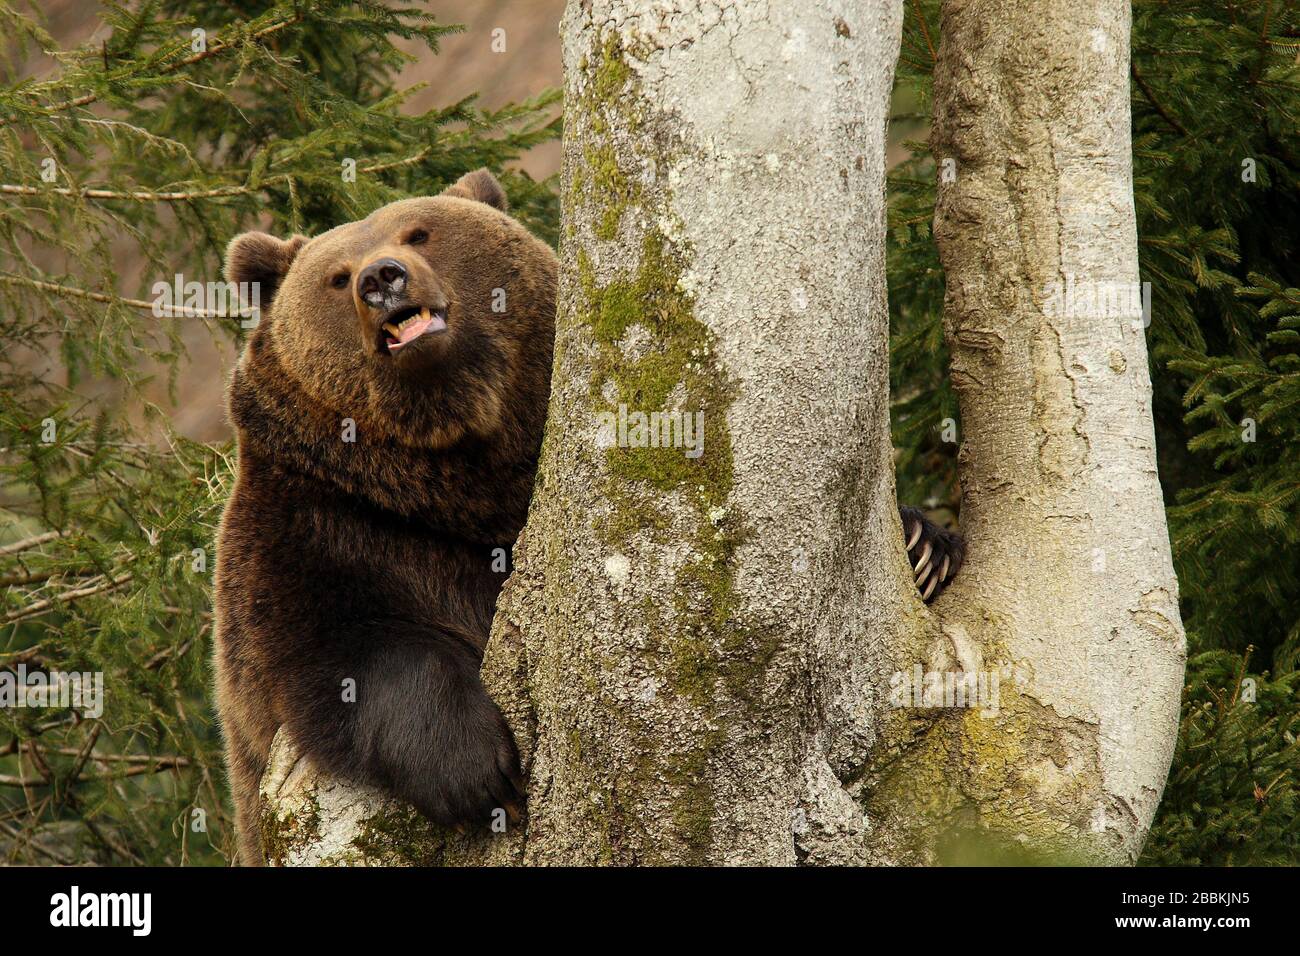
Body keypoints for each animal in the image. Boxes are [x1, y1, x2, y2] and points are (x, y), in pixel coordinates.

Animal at [215, 166, 967, 868]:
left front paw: (925, 546)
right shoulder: (321, 520)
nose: (382, 279)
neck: (460, 473)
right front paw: (475, 770)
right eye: (336, 276)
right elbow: (338, 650)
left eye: (419, 232)